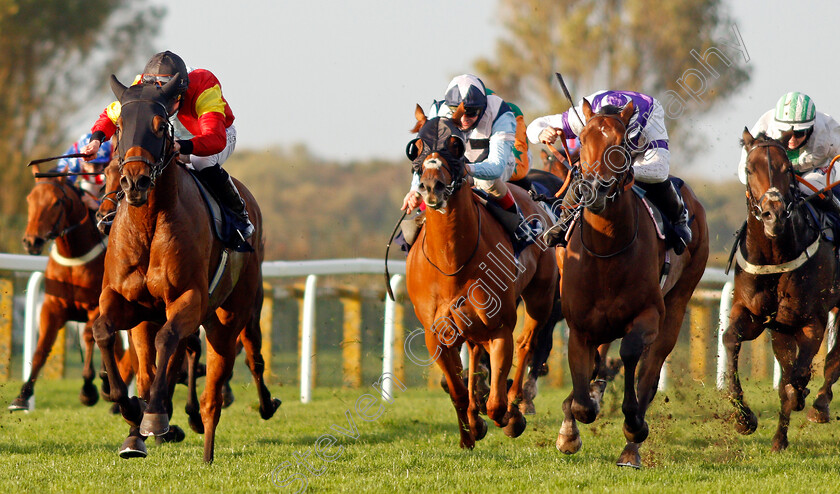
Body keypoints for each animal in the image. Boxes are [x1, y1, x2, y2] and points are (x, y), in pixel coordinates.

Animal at [10, 172, 132, 412]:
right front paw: (23, 395)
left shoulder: (95, 307)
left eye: (56, 202)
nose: (31, 241)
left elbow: (88, 337)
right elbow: (41, 348)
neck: (74, 258)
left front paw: (88, 389)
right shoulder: (52, 307)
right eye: (30, 199)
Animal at [92, 74, 278, 464]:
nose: (135, 181)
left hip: (235, 312)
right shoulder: (124, 301)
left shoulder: (187, 298)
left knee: (239, 365)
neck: (148, 224)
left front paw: (154, 416)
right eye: (119, 126)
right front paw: (130, 409)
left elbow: (168, 342)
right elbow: (103, 332)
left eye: (159, 125)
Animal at [406, 103, 556, 448]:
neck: (452, 263)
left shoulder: (500, 329)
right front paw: (469, 433)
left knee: (527, 343)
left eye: (456, 145)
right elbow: (459, 391)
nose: (430, 187)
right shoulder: (436, 336)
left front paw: (509, 419)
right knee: (475, 354)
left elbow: (497, 403)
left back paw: (518, 403)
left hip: (540, 297)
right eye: (417, 147)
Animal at [556, 99, 708, 466]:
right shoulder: (579, 325)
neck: (606, 252)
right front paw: (571, 429)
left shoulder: (649, 314)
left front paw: (633, 425)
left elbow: (629, 356)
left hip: (677, 304)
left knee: (650, 373)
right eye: (583, 140)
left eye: (619, 145)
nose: (592, 189)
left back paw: (631, 447)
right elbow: (582, 397)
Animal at [720, 128, 840, 452]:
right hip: (781, 329)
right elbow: (730, 339)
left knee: (832, 358)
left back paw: (819, 404)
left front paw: (802, 395)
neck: (775, 257)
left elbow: (796, 375)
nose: (773, 214)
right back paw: (780, 438)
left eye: (787, 169)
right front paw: (744, 418)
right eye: (750, 169)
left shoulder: (813, 320)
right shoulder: (756, 315)